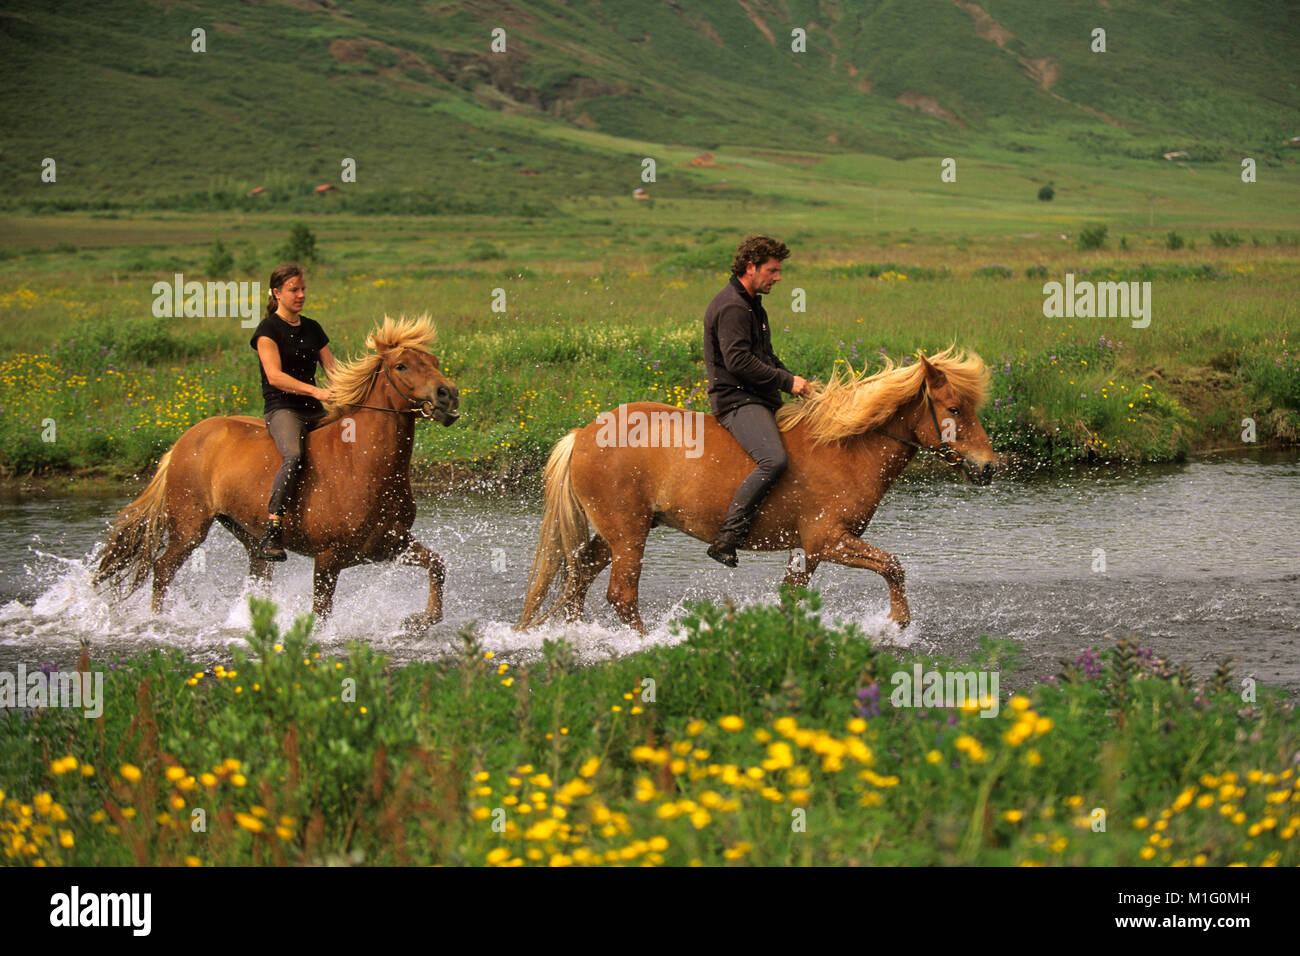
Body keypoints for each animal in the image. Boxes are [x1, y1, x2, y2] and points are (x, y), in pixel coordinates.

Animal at [94, 315, 460, 628]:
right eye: (401, 365)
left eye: (434, 362)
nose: (448, 395)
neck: (362, 463)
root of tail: (184, 441)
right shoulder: (328, 558)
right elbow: (321, 614)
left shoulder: (390, 545)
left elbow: (438, 565)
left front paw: (417, 622)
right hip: (189, 528)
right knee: (162, 569)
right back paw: (157, 622)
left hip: (249, 535)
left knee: (255, 579)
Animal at [517, 347, 997, 633]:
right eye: (954, 408)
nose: (989, 468)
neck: (845, 449)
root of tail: (582, 434)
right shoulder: (829, 539)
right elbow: (894, 567)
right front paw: (898, 623)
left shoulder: (809, 550)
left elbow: (791, 597)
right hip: (628, 532)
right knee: (620, 594)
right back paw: (643, 642)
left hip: (617, 531)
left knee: (580, 574)